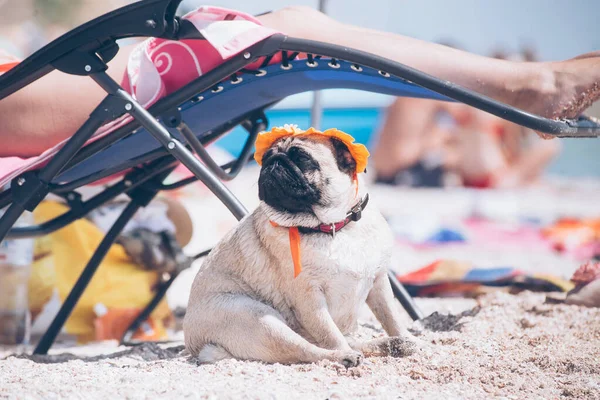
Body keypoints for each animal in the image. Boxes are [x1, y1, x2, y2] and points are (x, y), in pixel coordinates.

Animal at [184, 127, 418, 366]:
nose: (274, 162)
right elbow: (330, 334)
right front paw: (342, 351)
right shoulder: (309, 298)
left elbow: (391, 317)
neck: (333, 227)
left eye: (302, 159)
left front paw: (407, 338)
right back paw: (345, 356)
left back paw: (393, 344)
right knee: (308, 350)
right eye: (265, 158)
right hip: (258, 318)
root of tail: (196, 345)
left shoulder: (379, 282)